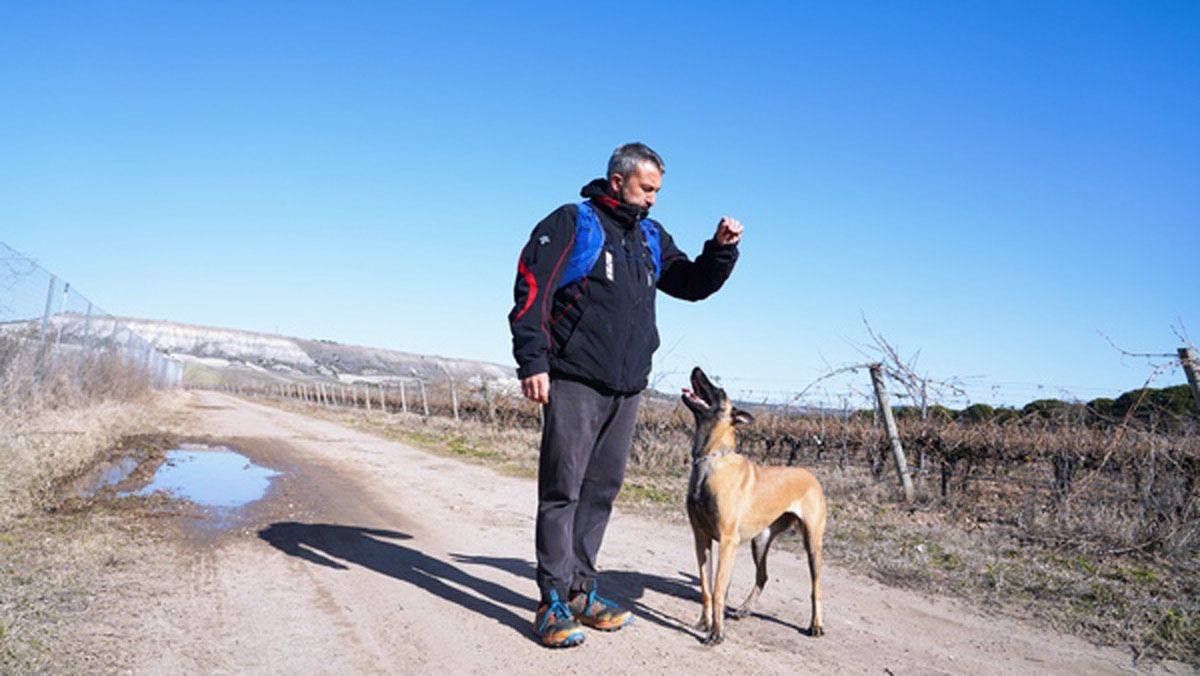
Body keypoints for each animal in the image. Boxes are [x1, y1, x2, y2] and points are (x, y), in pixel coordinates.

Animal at [681, 365, 830, 643]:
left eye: (720, 391)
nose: (696, 368)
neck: (711, 461)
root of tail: (811, 475)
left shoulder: (727, 541)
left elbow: (719, 590)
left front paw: (716, 633)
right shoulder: (701, 538)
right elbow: (707, 587)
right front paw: (705, 622)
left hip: (812, 544)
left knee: (816, 588)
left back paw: (816, 625)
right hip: (759, 542)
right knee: (763, 575)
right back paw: (744, 609)